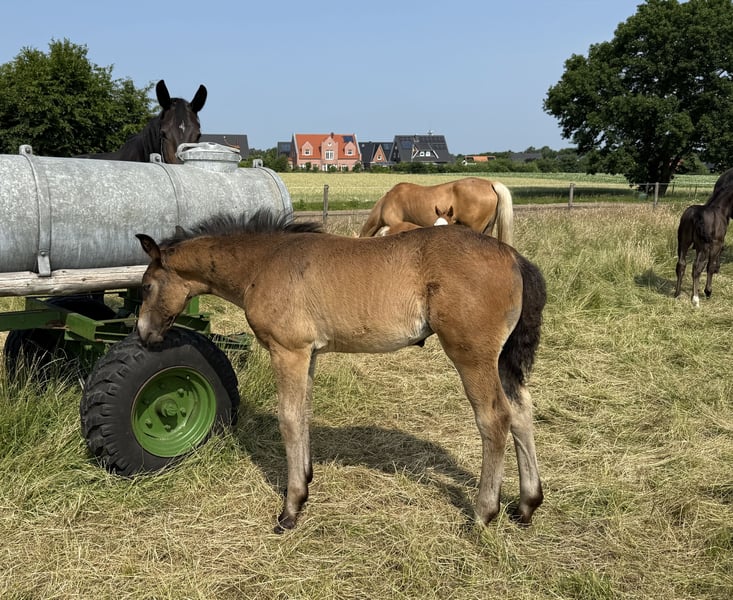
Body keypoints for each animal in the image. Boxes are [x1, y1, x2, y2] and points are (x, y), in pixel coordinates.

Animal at [134, 210, 546, 532]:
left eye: (147, 286)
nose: (144, 335)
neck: (265, 263)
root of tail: (513, 255)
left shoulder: (288, 351)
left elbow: (288, 418)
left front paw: (290, 508)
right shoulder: (309, 353)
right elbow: (303, 413)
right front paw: (305, 485)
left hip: (471, 354)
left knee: (495, 418)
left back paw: (482, 514)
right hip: (502, 359)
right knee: (522, 411)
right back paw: (527, 504)